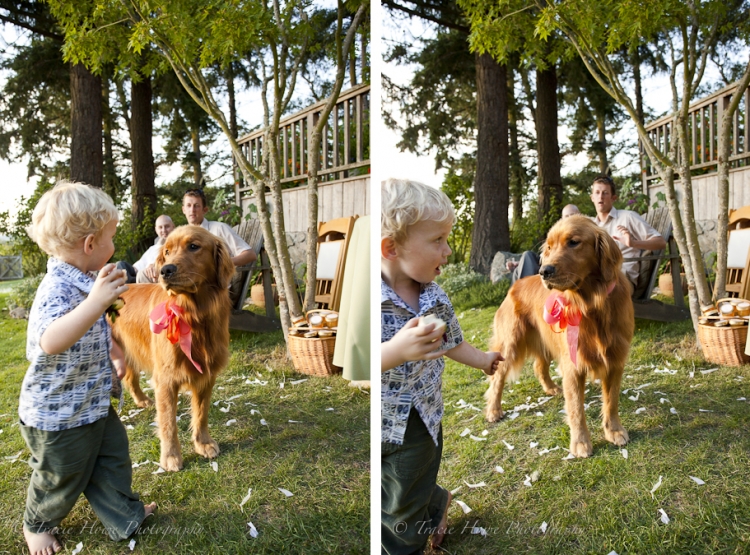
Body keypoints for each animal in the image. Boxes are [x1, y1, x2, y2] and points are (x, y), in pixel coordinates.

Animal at [112, 226, 232, 474]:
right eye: (166, 251)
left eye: (194, 246)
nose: (165, 270)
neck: (194, 315)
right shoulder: (166, 379)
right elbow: (168, 422)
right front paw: (171, 456)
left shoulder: (206, 375)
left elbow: (201, 413)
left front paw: (203, 443)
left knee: (129, 379)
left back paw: (142, 401)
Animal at [488, 215, 636, 458]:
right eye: (549, 247)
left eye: (573, 242)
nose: (544, 271)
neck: (590, 304)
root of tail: (515, 284)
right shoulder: (573, 365)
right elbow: (576, 408)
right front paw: (581, 442)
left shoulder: (615, 359)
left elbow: (611, 401)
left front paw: (613, 430)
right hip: (510, 344)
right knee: (497, 377)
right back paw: (493, 410)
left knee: (539, 367)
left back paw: (550, 388)